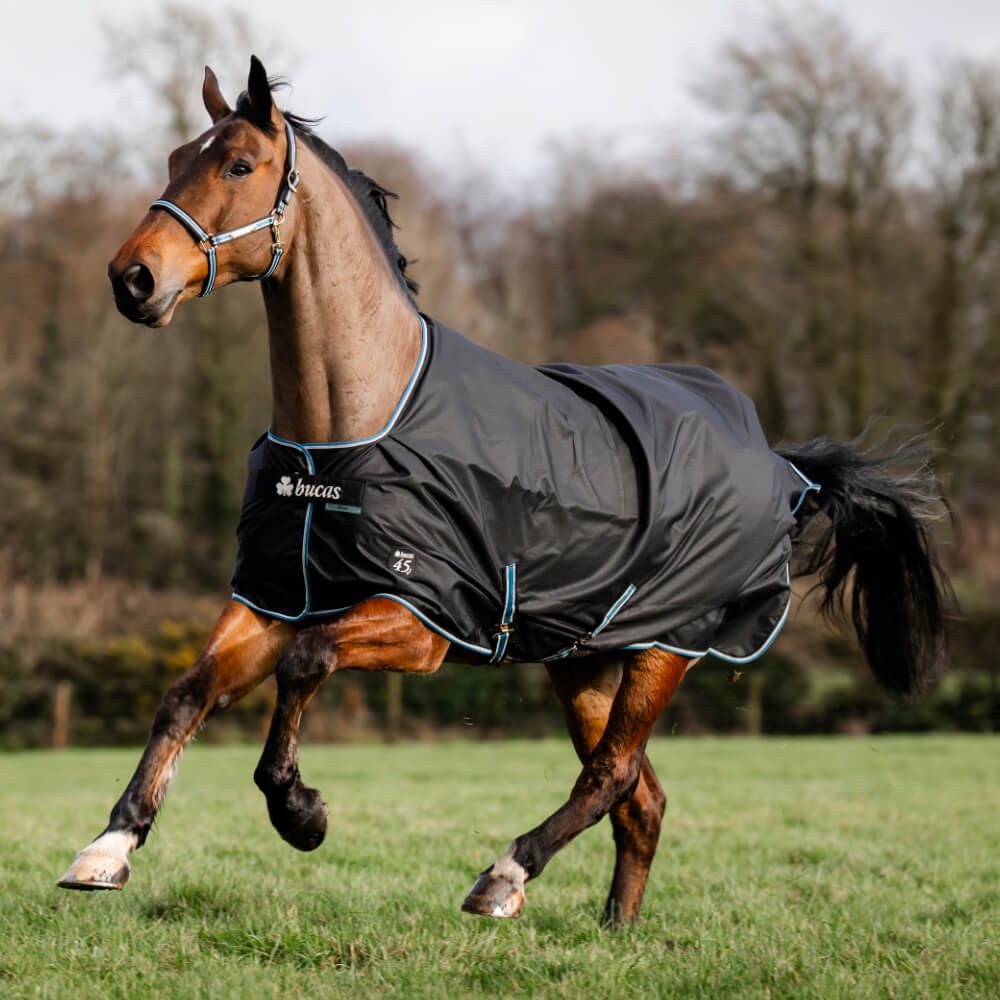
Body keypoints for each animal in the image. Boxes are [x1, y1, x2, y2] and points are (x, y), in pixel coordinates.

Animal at [57, 56, 950, 927]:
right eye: (177, 158)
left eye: (238, 165)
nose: (131, 278)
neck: (346, 432)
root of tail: (780, 463)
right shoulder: (275, 596)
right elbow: (185, 694)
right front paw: (108, 848)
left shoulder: (418, 620)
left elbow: (307, 665)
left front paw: (300, 813)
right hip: (583, 663)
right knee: (642, 799)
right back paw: (614, 931)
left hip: (667, 649)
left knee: (612, 777)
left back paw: (503, 876)